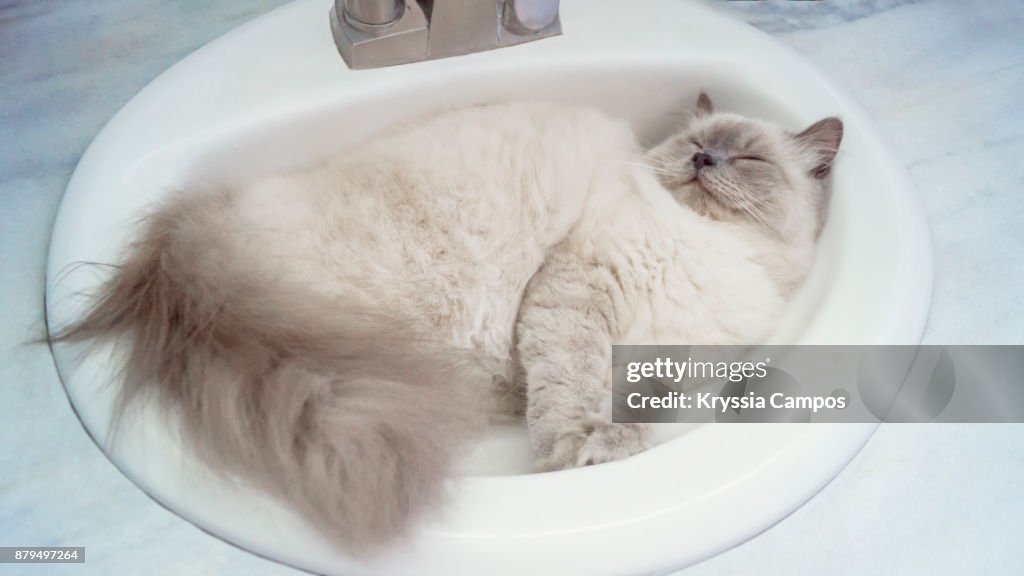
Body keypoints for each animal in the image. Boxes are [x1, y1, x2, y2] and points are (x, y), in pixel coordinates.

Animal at [49, 95, 839, 553]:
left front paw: (606, 444)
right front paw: (572, 452)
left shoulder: (681, 368)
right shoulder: (578, 290)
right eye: (694, 146)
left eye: (749, 156)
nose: (704, 159)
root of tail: (189, 257)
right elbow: (572, 387)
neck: (712, 249)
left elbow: (639, 411)